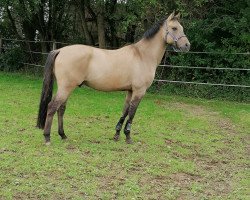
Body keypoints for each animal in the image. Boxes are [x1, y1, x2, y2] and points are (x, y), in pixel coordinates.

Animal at [36, 12, 189, 144]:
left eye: (181, 28)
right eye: (174, 28)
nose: (187, 45)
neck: (142, 55)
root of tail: (60, 50)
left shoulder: (130, 91)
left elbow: (125, 111)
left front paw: (116, 135)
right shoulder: (139, 91)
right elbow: (132, 113)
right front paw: (128, 137)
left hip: (66, 88)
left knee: (61, 109)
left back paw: (63, 135)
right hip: (66, 88)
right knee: (52, 107)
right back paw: (47, 137)